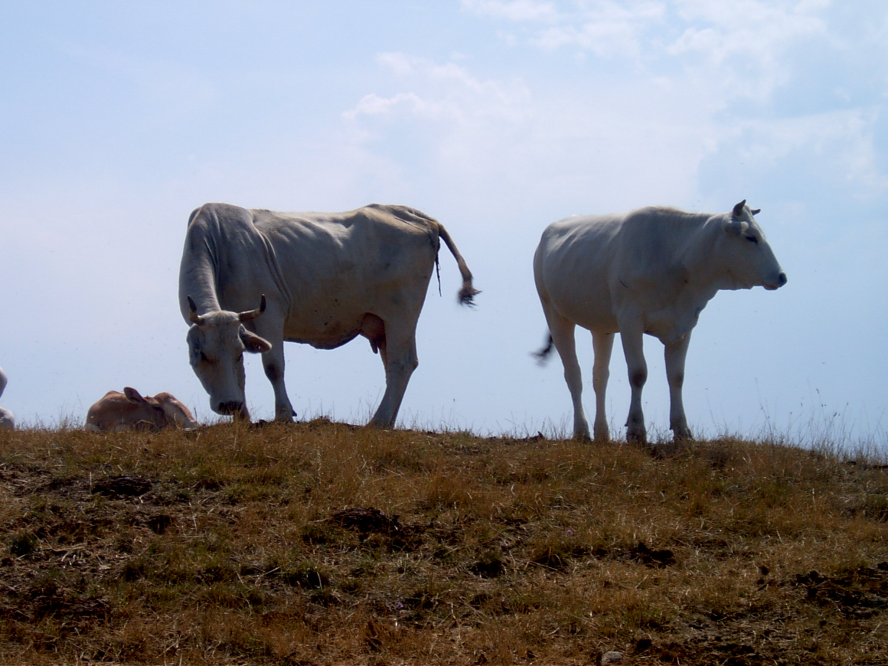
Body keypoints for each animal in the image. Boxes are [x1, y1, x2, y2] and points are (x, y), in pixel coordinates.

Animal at [180, 200, 478, 426]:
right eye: (202, 355)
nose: (228, 404)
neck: (220, 246)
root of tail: (418, 216)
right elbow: (242, 375)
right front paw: (242, 419)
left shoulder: (269, 314)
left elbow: (274, 367)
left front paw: (283, 415)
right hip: (384, 323)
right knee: (394, 365)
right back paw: (388, 420)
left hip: (401, 314)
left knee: (401, 363)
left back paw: (378, 421)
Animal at [532, 200, 788, 444]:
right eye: (750, 237)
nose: (782, 276)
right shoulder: (630, 320)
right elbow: (638, 373)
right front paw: (636, 430)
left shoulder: (684, 323)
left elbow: (676, 376)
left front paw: (682, 430)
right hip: (554, 312)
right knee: (573, 374)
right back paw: (582, 431)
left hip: (601, 327)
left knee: (600, 376)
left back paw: (602, 433)